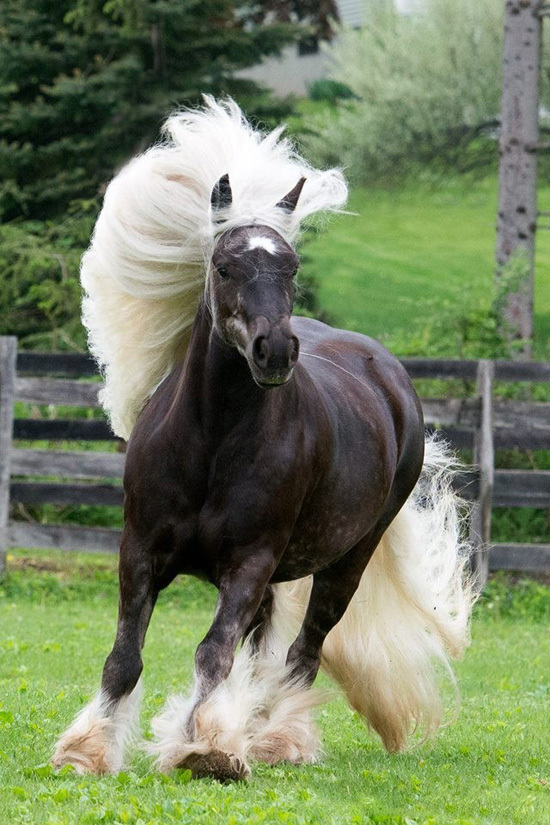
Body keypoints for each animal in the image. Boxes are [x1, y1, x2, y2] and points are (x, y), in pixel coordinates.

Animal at [52, 99, 473, 782]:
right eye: (224, 266)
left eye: (290, 266)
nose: (274, 350)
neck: (210, 443)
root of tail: (386, 374)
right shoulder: (139, 550)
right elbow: (124, 656)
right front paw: (86, 751)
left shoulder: (248, 565)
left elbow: (213, 652)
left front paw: (207, 747)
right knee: (266, 648)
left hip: (345, 561)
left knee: (305, 649)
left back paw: (278, 739)